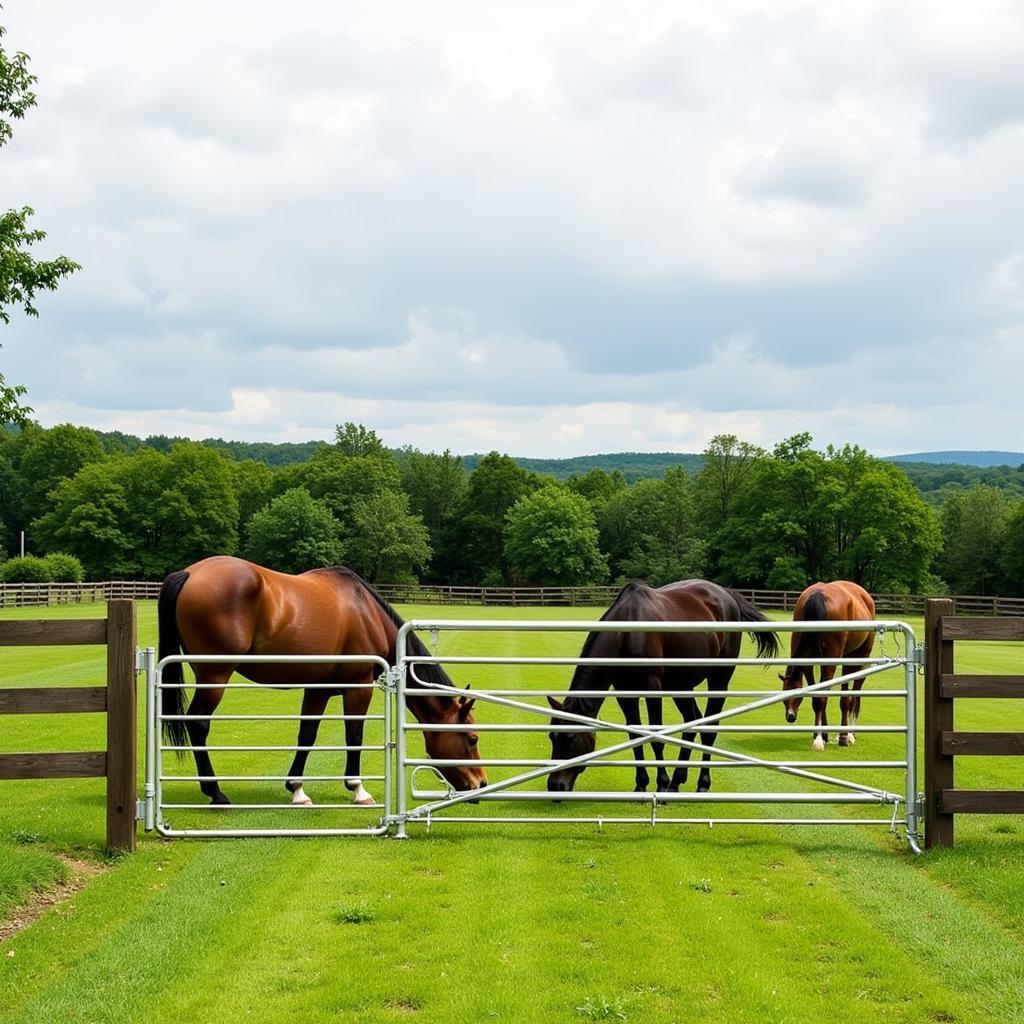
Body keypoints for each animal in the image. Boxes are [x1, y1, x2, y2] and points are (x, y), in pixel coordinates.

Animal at [157, 557, 485, 802]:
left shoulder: (318, 690)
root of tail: (190, 572)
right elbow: (354, 735)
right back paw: (215, 792)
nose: (481, 785)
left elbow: (307, 735)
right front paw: (358, 789)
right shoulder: (358, 688)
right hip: (214, 675)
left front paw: (297, 789)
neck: (367, 614)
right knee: (198, 724)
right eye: (472, 738)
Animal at [548, 581, 778, 794]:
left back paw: (702, 783)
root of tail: (727, 595)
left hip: (719, 679)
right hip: (682, 685)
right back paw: (677, 781)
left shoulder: (653, 688)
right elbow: (635, 736)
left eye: (570, 739)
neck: (628, 632)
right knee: (692, 720)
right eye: (551, 736)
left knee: (709, 728)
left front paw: (661, 783)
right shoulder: (624, 693)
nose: (555, 785)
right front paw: (641, 784)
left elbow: (656, 737)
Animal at [778, 577, 876, 753]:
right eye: (784, 696)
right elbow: (816, 697)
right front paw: (822, 734)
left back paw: (848, 735)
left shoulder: (830, 661)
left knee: (854, 693)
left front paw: (818, 740)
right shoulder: (808, 665)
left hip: (860, 655)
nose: (790, 716)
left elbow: (823, 698)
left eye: (797, 697)